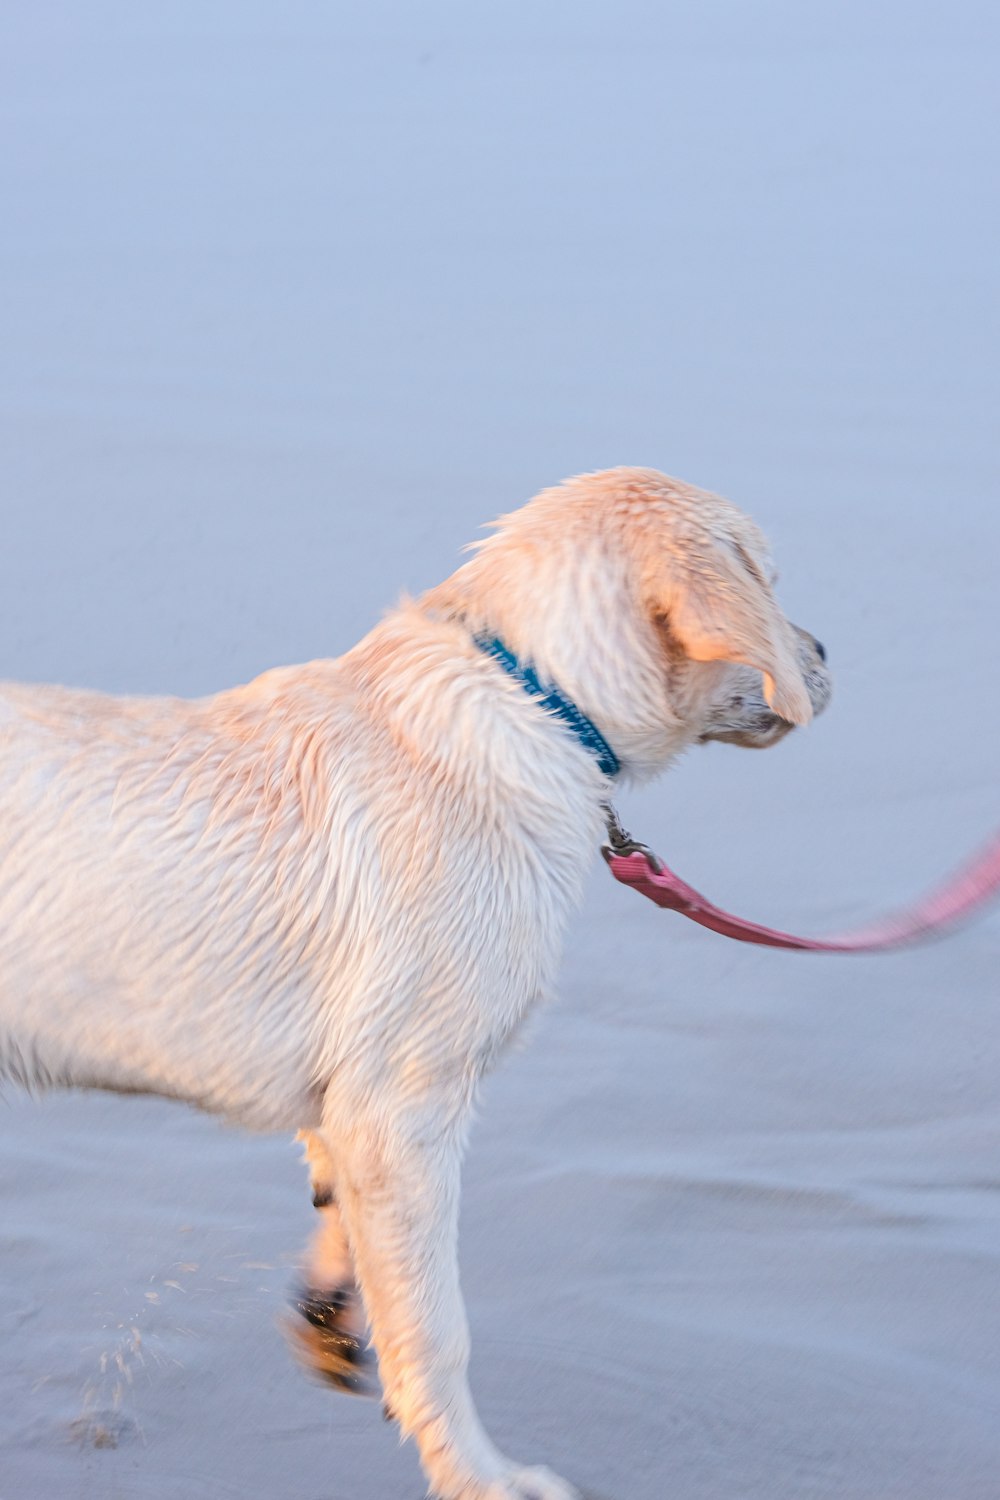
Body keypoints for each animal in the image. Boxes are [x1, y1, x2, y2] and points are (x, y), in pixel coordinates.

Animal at [0, 468, 827, 1500]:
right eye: (772, 583)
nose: (824, 656)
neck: (534, 697)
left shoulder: (358, 1108)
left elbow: (347, 1226)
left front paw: (330, 1314)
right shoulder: (408, 1104)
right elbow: (436, 1329)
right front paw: (484, 1477)